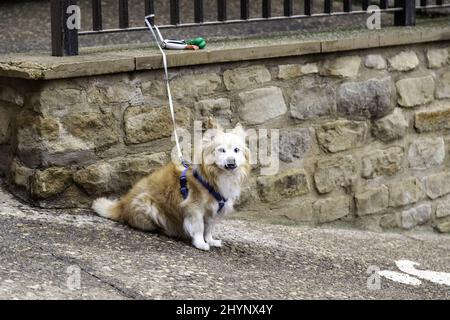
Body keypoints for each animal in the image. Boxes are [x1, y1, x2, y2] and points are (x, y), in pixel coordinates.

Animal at [92, 120, 251, 250]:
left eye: (236, 150)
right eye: (221, 150)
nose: (231, 162)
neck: (214, 176)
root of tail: (121, 205)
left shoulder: (213, 209)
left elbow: (209, 228)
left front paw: (210, 240)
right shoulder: (194, 207)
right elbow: (199, 227)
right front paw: (200, 243)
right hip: (147, 204)